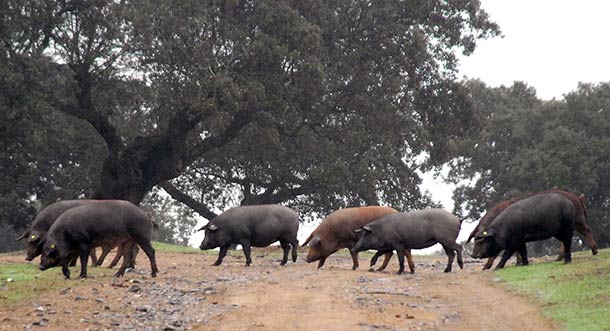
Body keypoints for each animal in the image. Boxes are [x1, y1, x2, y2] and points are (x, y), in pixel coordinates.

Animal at [468, 191, 596, 272]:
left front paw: (495, 267)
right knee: (566, 241)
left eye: (481, 241)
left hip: (571, 225)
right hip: (559, 231)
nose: (473, 254)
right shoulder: (521, 240)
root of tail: (575, 199)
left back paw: (571, 260)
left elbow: (507, 253)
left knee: (575, 238)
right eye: (475, 239)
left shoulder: (515, 238)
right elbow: (523, 252)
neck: (502, 229)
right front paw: (523, 264)